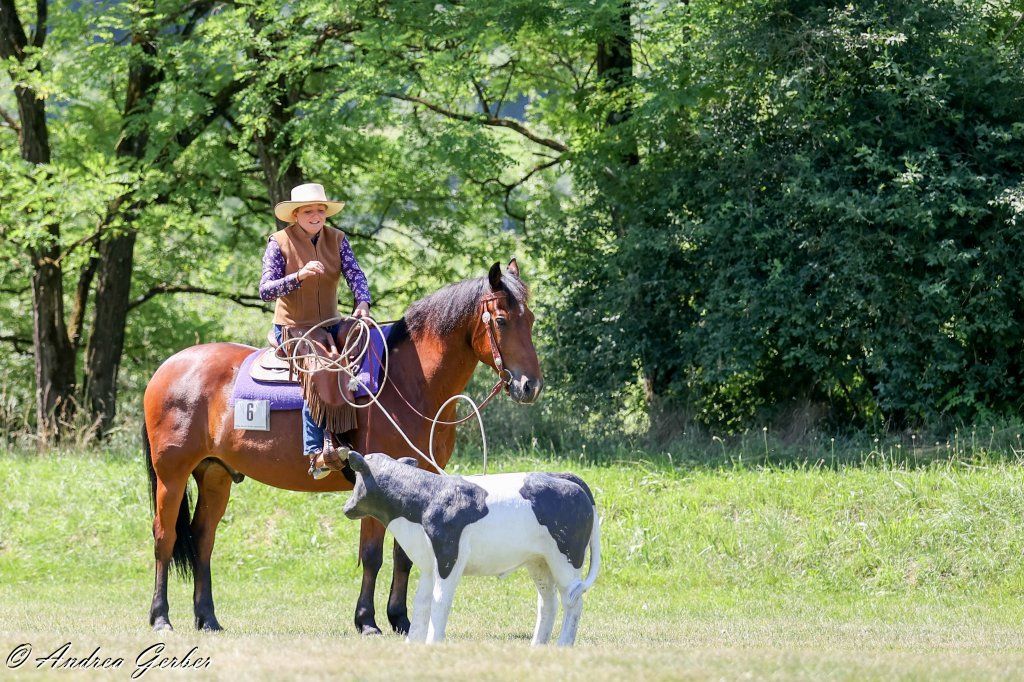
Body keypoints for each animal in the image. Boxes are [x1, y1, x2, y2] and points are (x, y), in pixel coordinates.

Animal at [143, 259, 542, 634]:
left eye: (531, 319)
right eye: (502, 320)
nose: (530, 386)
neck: (408, 381)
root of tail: (167, 368)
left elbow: (404, 555)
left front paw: (400, 619)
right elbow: (372, 554)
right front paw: (367, 621)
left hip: (215, 474)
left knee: (202, 539)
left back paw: (207, 618)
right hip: (172, 476)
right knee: (165, 537)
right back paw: (161, 617)